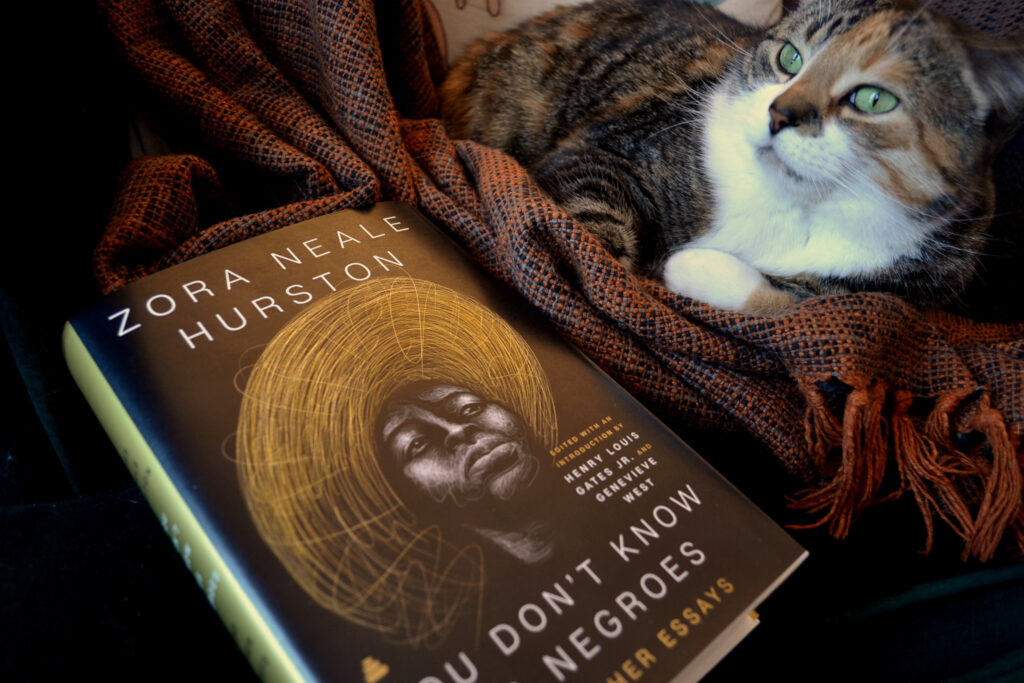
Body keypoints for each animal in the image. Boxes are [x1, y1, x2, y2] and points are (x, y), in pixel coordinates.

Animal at [440, 0, 1024, 313]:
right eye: (789, 57)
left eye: (872, 99)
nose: (778, 113)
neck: (791, 206)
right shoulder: (611, 151)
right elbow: (591, 237)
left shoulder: (906, 288)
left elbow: (806, 303)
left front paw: (690, 267)